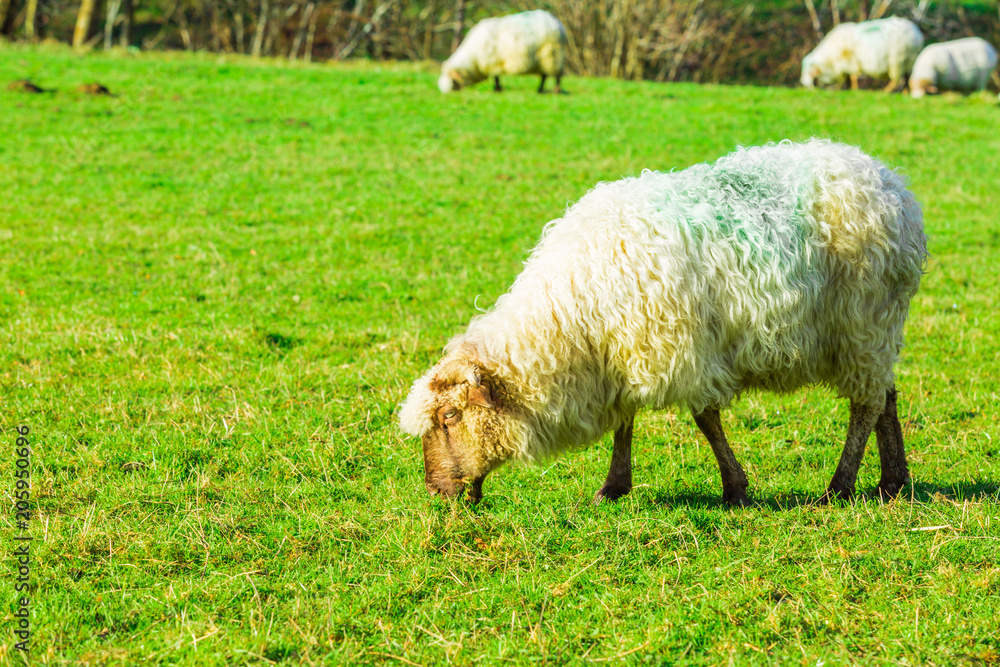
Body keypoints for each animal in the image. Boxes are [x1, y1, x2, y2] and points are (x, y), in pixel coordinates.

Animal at [399, 139, 927, 507]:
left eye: (450, 417)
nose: (435, 493)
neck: (570, 320)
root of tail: (890, 183)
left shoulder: (679, 348)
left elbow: (705, 420)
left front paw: (735, 488)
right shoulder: (622, 352)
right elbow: (625, 421)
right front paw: (613, 487)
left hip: (863, 319)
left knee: (865, 404)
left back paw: (840, 487)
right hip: (875, 330)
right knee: (885, 395)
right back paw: (892, 480)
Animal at [438, 10, 567, 94]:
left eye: (453, 81)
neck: (473, 58)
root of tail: (558, 23)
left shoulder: (493, 62)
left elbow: (496, 77)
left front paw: (497, 90)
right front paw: (498, 89)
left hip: (552, 55)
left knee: (555, 76)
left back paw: (553, 91)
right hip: (543, 58)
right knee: (544, 75)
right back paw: (540, 90)